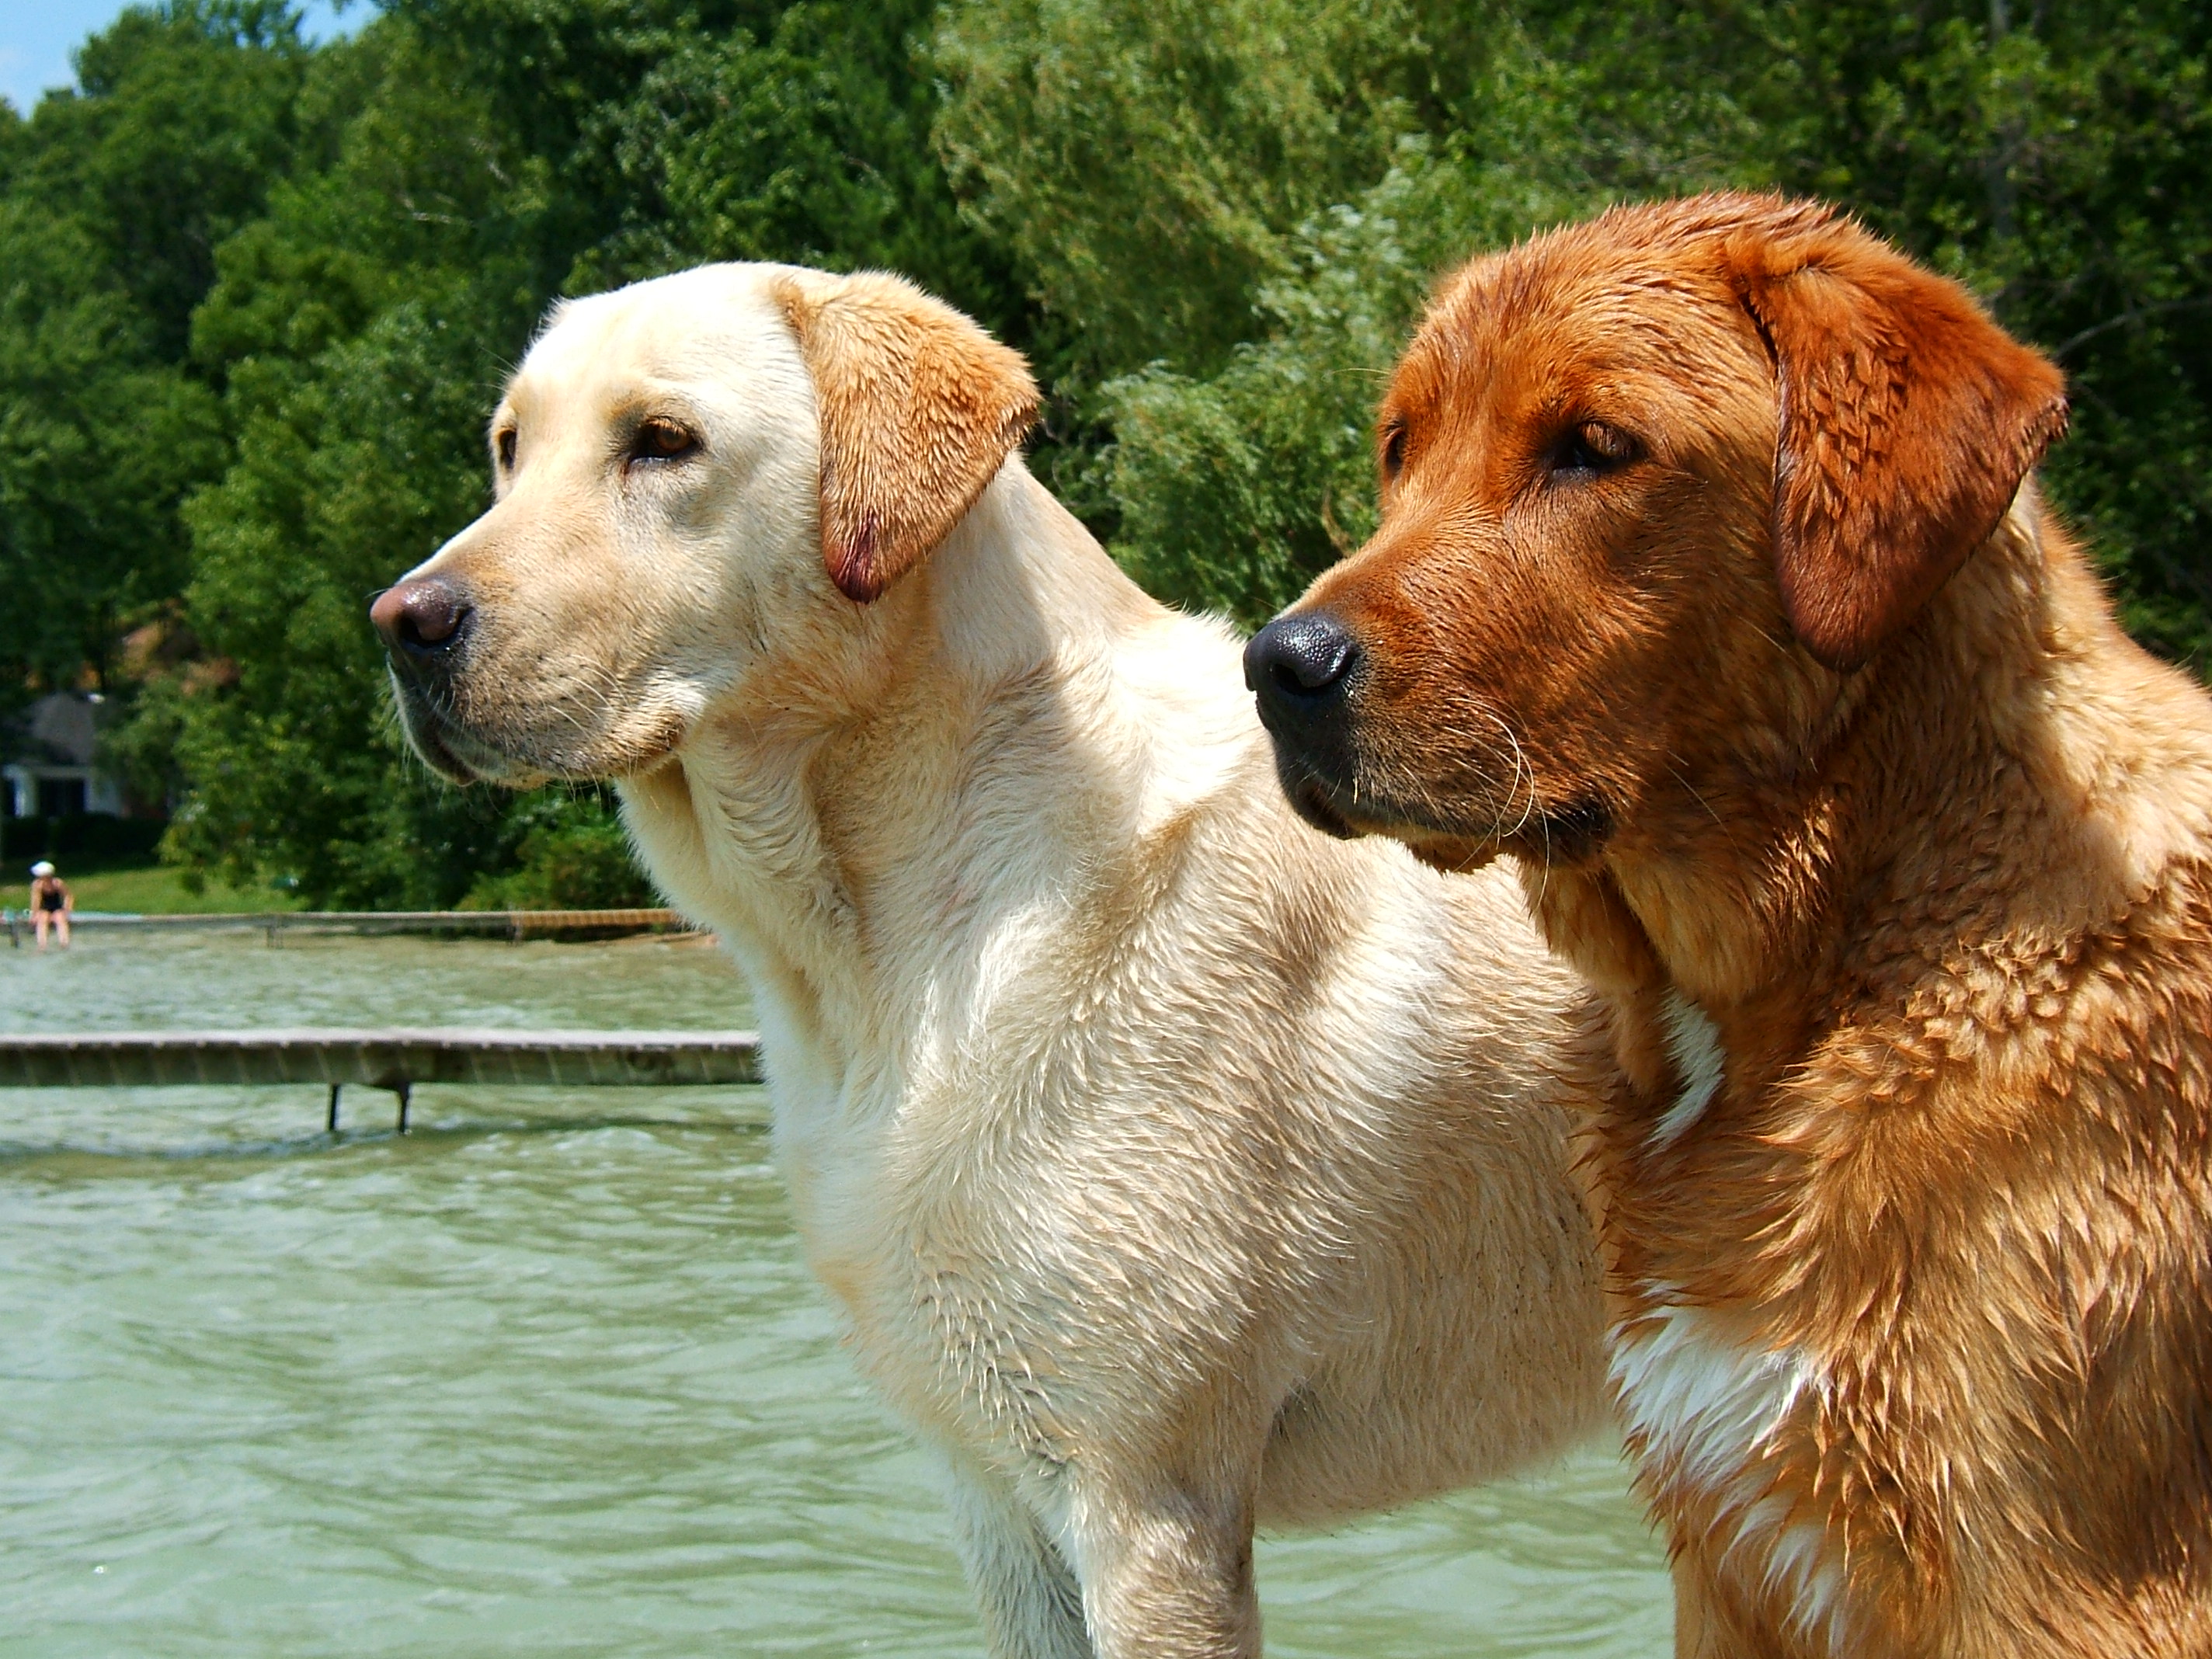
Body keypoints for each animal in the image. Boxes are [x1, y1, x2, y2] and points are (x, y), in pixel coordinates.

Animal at [371, 266, 1601, 1654]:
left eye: (663, 442)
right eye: (507, 449)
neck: (869, 951)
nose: (402, 623)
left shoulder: (1145, 1502)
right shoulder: (997, 1495)